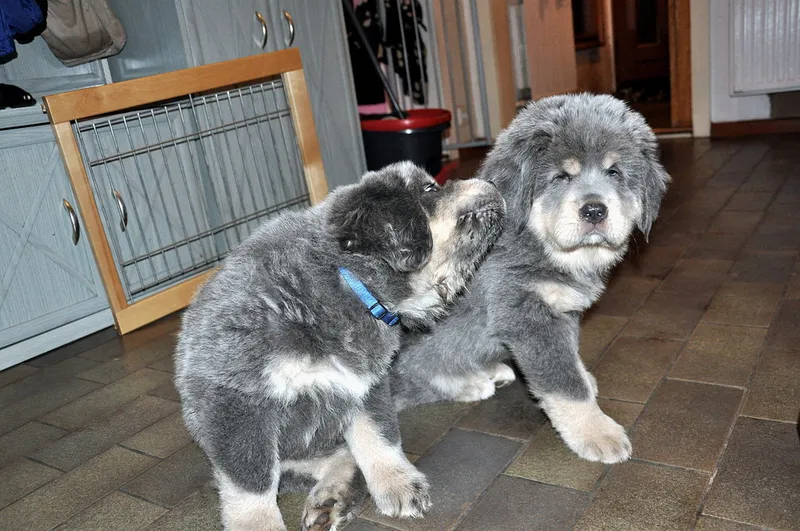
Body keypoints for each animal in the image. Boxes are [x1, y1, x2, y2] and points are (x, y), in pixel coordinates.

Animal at [174, 161, 505, 531]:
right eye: (430, 189)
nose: (494, 183)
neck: (347, 279)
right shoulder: (238, 403)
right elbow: (252, 483)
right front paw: (258, 524)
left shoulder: (363, 384)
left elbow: (379, 437)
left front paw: (398, 484)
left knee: (341, 454)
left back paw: (329, 499)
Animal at [391, 94, 670, 464]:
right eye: (561, 177)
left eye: (614, 172)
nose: (595, 210)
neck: (538, 241)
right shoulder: (528, 315)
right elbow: (563, 382)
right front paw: (596, 432)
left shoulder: (561, 309)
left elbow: (571, 355)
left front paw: (584, 378)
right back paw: (471, 382)